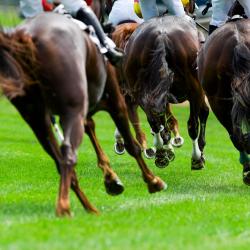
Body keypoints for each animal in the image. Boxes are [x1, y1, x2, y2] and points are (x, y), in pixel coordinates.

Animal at [0, 12, 166, 215]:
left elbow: (92, 130)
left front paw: (111, 179)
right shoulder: (115, 102)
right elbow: (131, 145)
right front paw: (152, 181)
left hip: (37, 119)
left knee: (59, 160)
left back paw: (87, 207)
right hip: (73, 110)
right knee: (68, 154)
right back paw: (65, 206)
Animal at [123, 15, 209, 168]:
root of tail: (161, 35)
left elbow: (162, 121)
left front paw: (166, 148)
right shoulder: (195, 92)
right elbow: (200, 115)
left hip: (138, 91)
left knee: (154, 120)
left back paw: (161, 154)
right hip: (195, 88)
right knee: (194, 122)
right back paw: (196, 157)